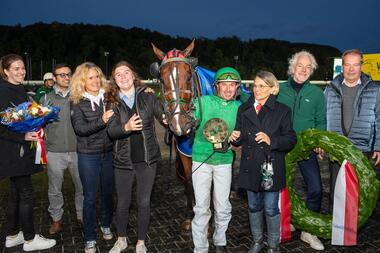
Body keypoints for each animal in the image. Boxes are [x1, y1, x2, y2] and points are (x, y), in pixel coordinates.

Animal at [150, 40, 200, 229]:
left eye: (189, 77)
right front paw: (190, 215)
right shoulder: (184, 152)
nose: (180, 123)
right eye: (162, 79)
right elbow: (189, 181)